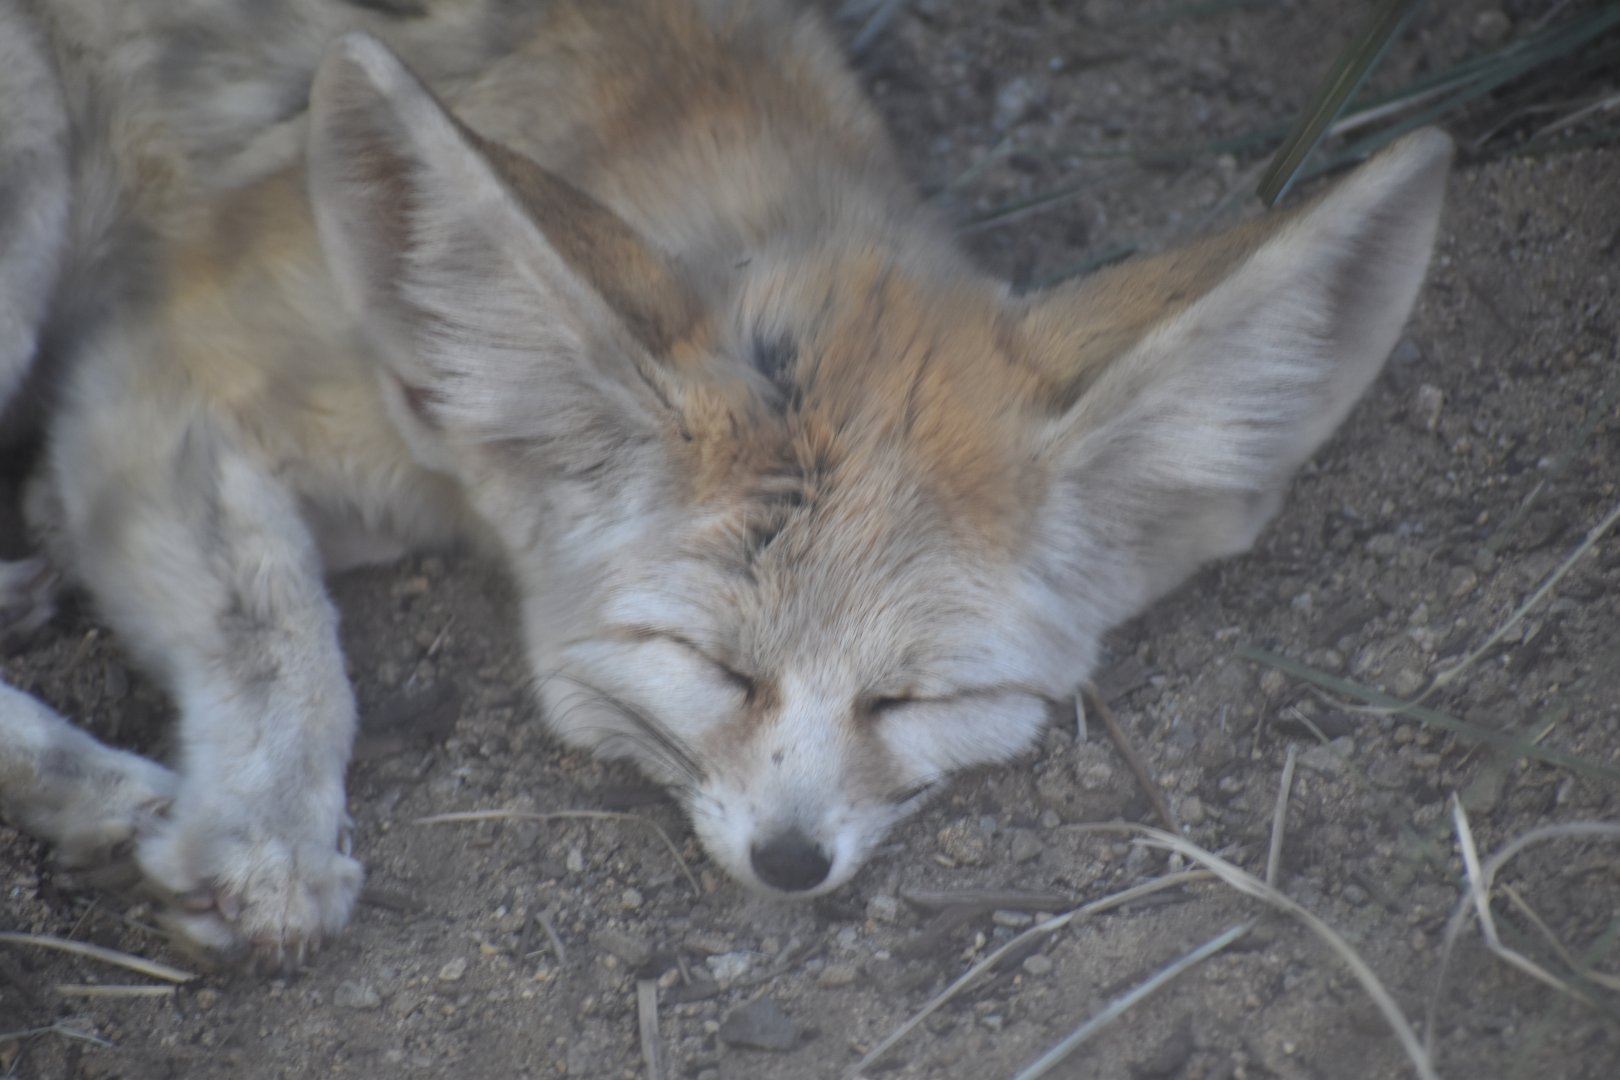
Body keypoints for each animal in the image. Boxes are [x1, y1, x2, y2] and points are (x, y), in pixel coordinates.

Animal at [0, 0, 1451, 968]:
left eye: (916, 700)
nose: (792, 862)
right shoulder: (150, 377)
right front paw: (267, 832)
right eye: (713, 666)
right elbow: (277, 626)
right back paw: (89, 780)